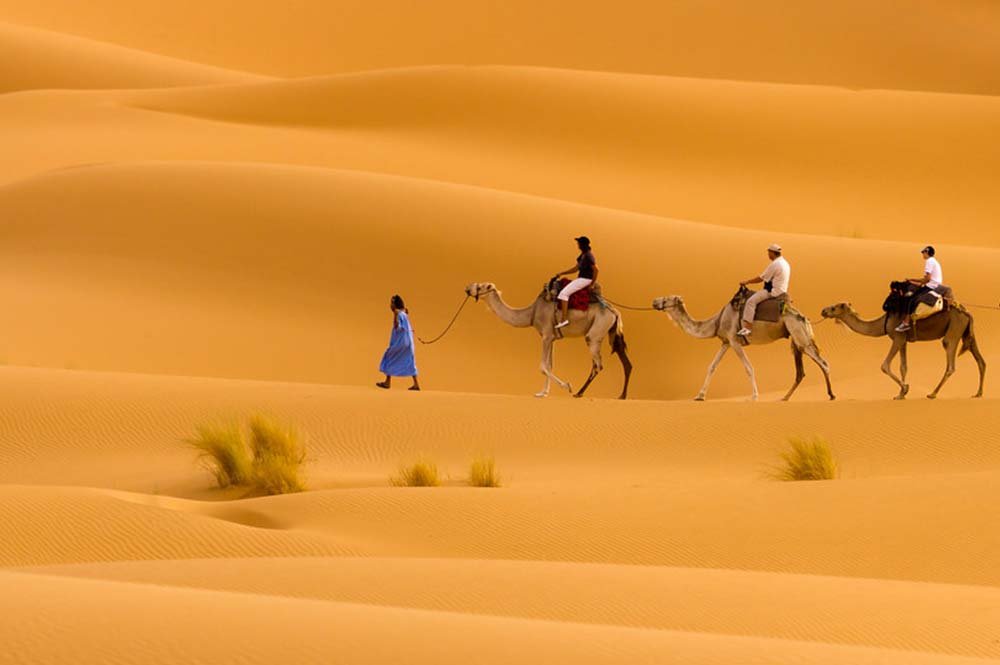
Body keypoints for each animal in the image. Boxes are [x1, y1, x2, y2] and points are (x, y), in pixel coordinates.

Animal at [462, 278, 632, 396]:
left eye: (480, 286)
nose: (467, 288)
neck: (531, 313)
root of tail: (614, 312)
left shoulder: (546, 336)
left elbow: (543, 366)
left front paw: (567, 386)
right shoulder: (552, 338)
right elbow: (549, 365)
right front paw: (543, 392)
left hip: (595, 333)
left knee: (598, 364)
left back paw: (579, 393)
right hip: (612, 333)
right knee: (625, 361)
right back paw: (622, 396)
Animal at [652, 286, 832, 400]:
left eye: (667, 298)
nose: (654, 301)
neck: (717, 321)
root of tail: (804, 317)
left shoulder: (734, 340)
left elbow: (748, 368)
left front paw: (754, 396)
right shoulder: (726, 342)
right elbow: (712, 366)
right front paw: (700, 396)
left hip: (800, 336)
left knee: (823, 362)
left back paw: (831, 395)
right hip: (796, 339)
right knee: (800, 371)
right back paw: (785, 397)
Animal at [820, 300, 984, 400]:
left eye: (834, 307)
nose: (823, 310)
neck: (884, 322)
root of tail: (967, 312)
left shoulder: (897, 338)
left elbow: (885, 365)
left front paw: (905, 389)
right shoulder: (904, 341)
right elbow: (903, 367)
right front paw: (901, 394)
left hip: (954, 330)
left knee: (950, 362)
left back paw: (932, 393)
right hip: (967, 333)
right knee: (981, 361)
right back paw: (978, 393)